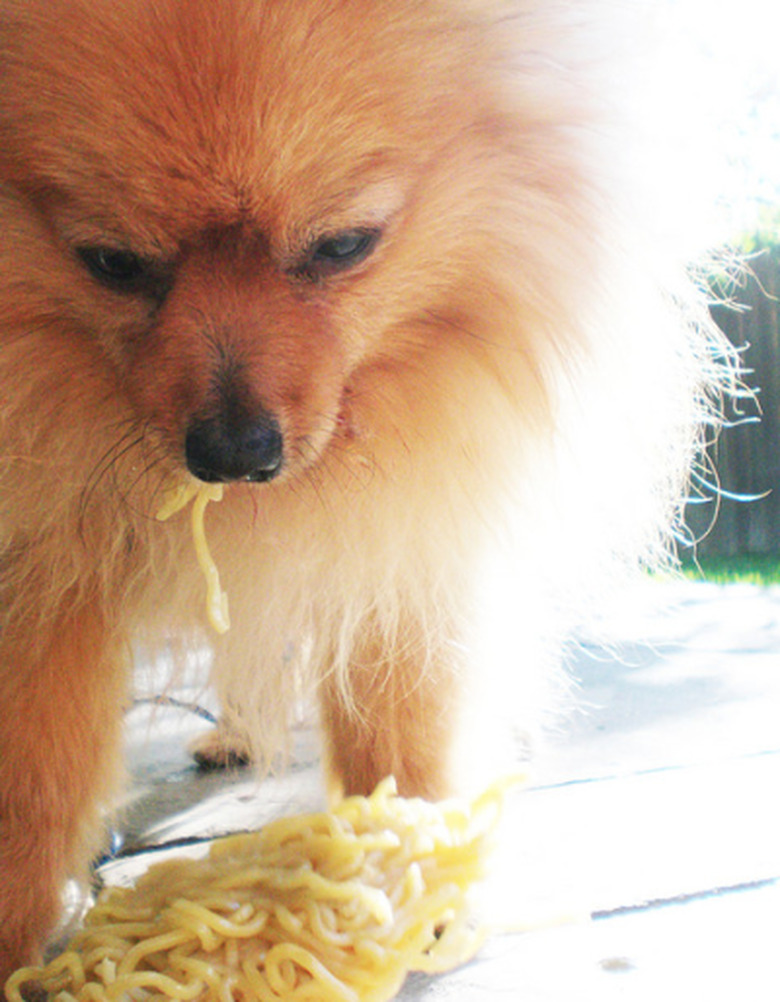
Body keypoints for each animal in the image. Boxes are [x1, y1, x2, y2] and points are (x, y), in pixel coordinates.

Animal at [0, 0, 721, 985]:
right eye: (110, 261)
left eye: (343, 245)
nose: (233, 450)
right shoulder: (41, 551)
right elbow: (37, 768)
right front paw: (15, 923)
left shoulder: (413, 517)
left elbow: (403, 708)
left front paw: (409, 853)